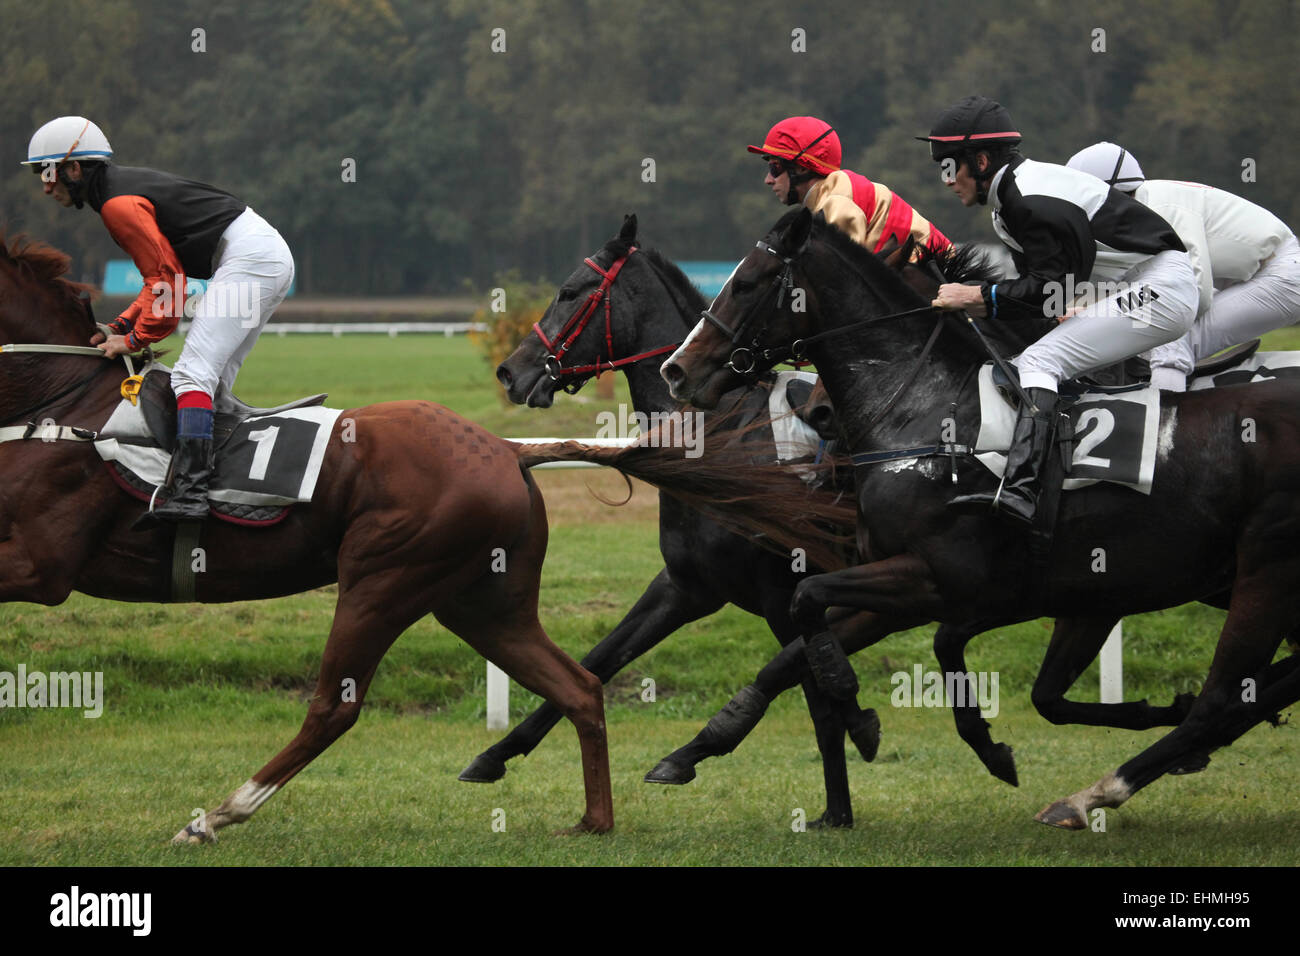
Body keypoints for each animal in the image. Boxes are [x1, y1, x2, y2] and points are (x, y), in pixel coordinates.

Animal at [0, 235, 611, 842]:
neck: (67, 407)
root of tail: (508, 450)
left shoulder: (41, 565)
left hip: (383, 583)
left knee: (333, 707)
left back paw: (217, 815)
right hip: (483, 603)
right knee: (578, 685)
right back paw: (594, 820)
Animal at [462, 217, 878, 832]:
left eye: (569, 290)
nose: (511, 371)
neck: (719, 436)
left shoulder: (784, 595)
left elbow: (814, 693)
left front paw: (838, 804)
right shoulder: (686, 587)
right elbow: (599, 659)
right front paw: (495, 754)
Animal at [660, 209, 1300, 832]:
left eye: (746, 284)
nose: (675, 370)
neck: (934, 412)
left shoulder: (948, 578)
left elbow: (814, 602)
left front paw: (859, 708)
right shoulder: (982, 589)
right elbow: (799, 647)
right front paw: (698, 747)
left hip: (1267, 570)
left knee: (1222, 700)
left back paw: (1092, 795)